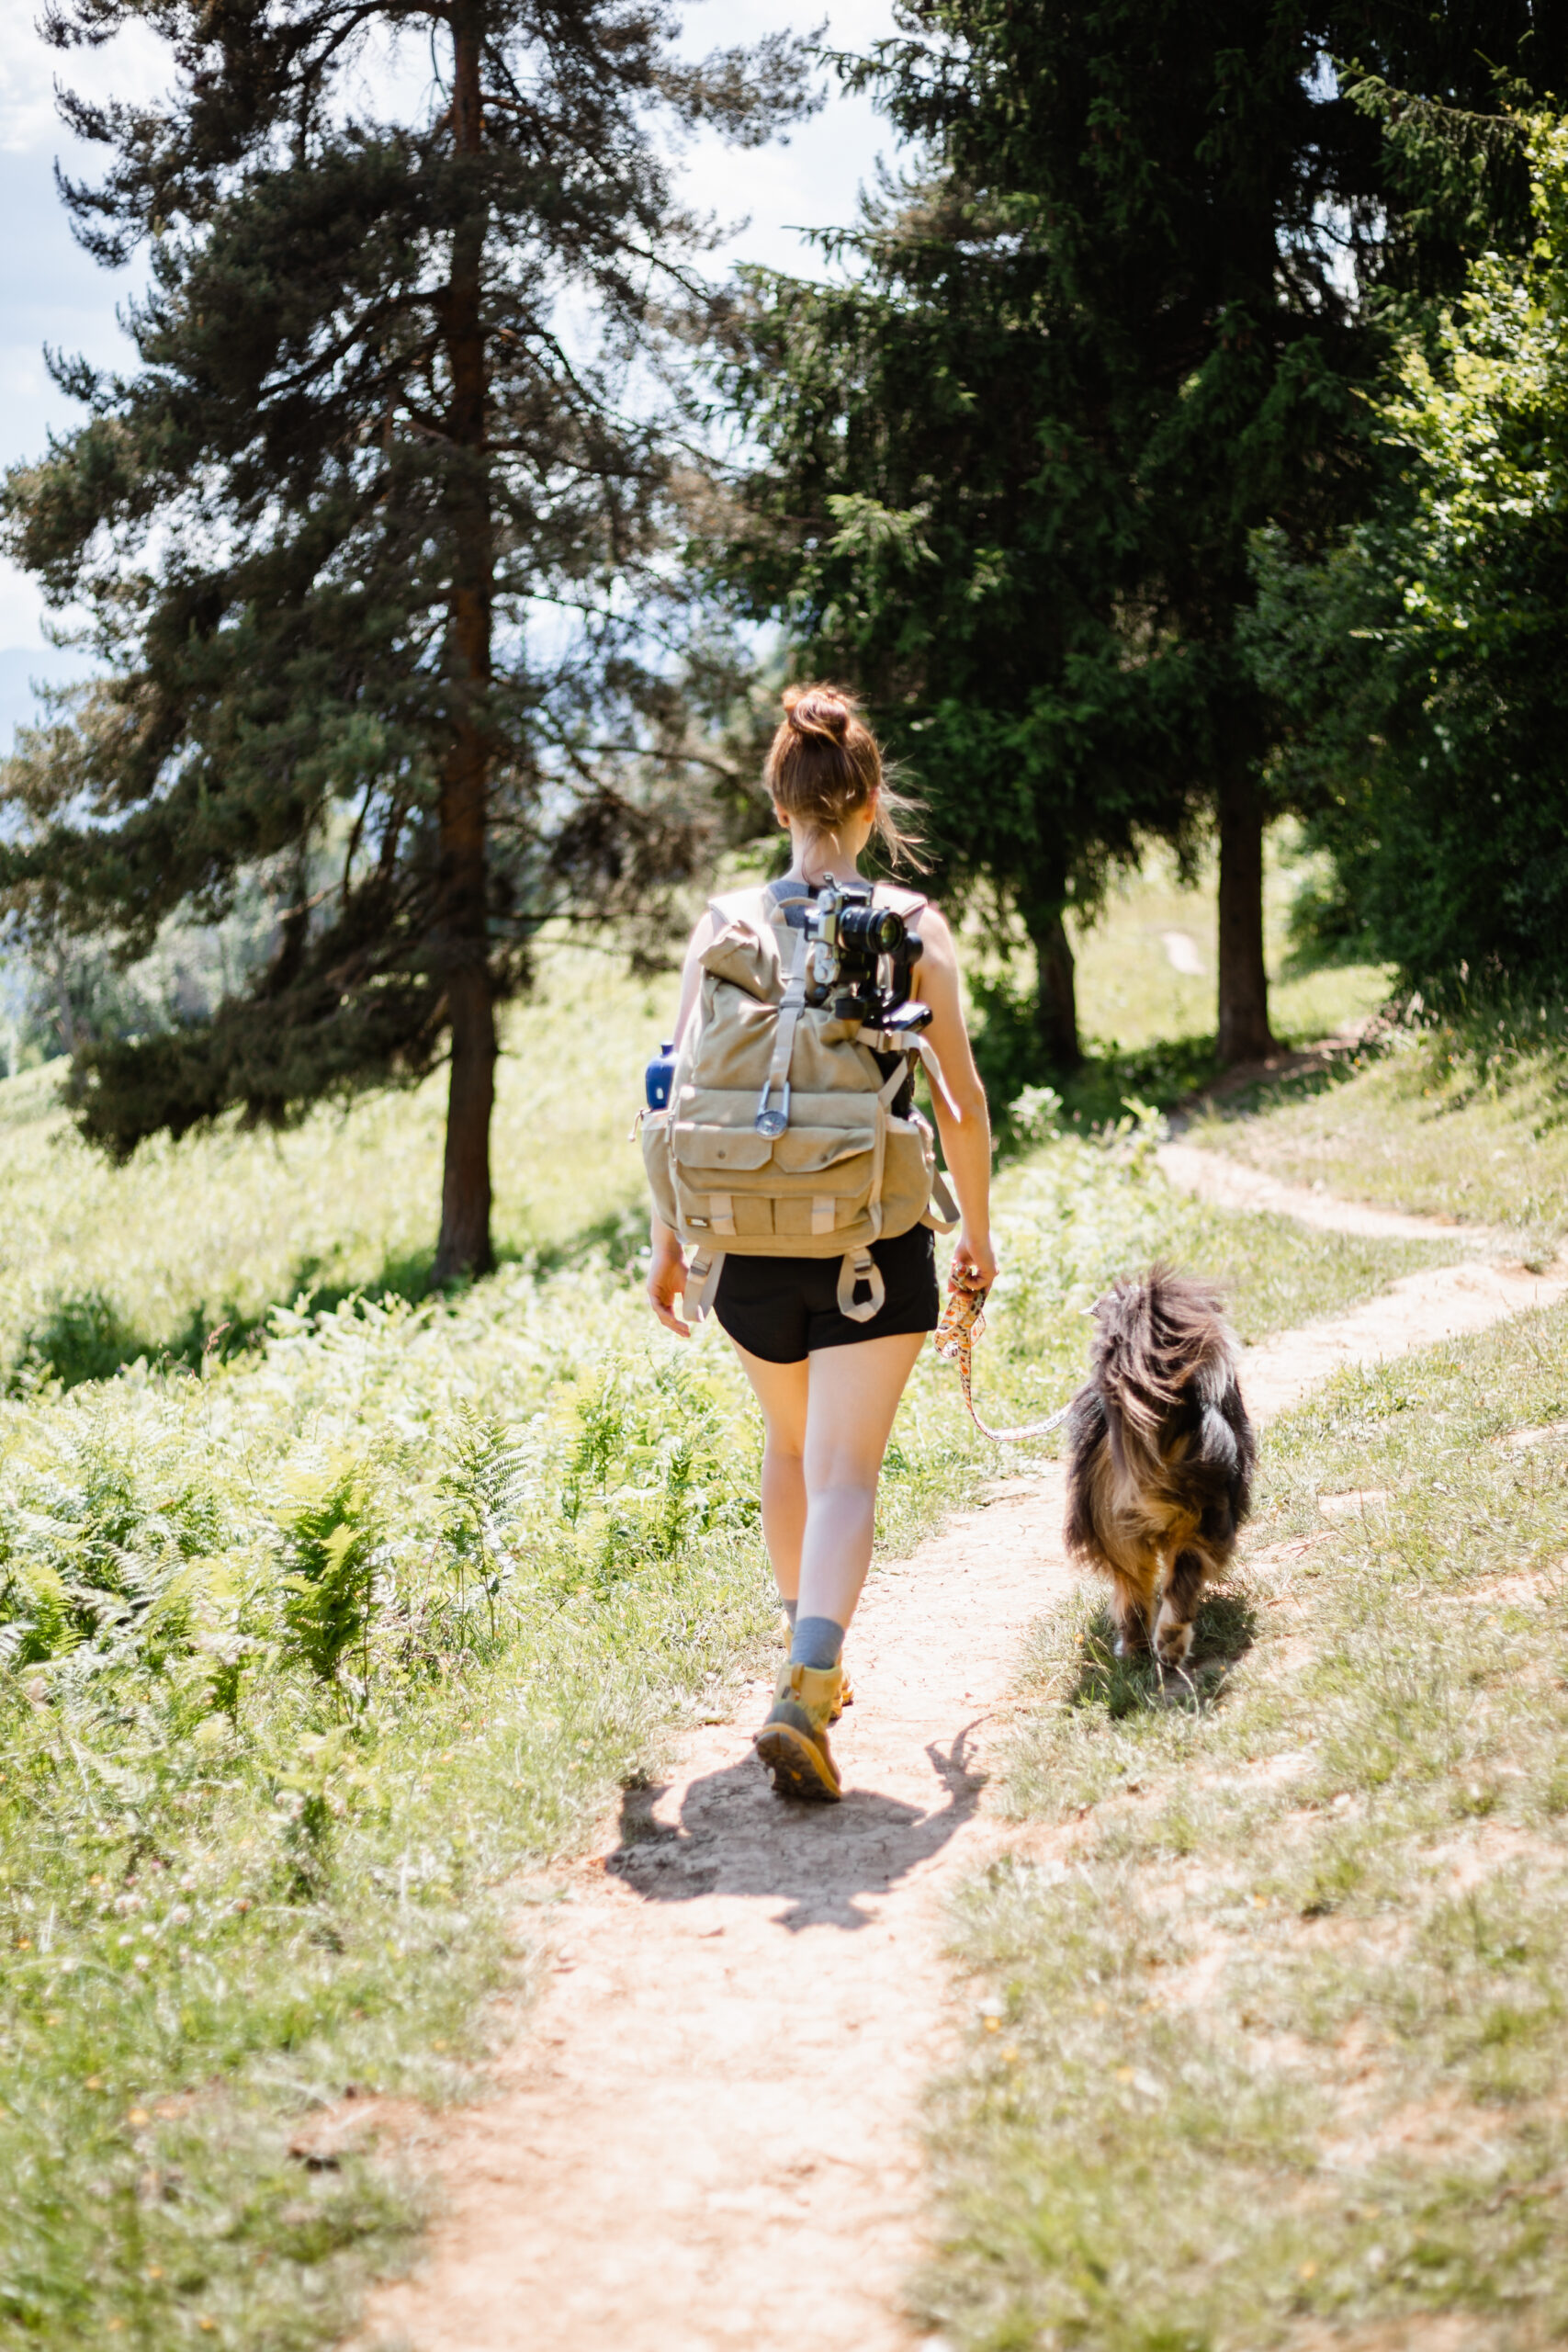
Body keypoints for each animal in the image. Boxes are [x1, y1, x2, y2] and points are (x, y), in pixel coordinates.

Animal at [1062, 1270, 1259, 1674]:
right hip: (1200, 1521)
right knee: (1175, 1580)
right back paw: (1161, 1646)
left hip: (1118, 1530)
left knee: (1139, 1593)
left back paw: (1144, 1648)